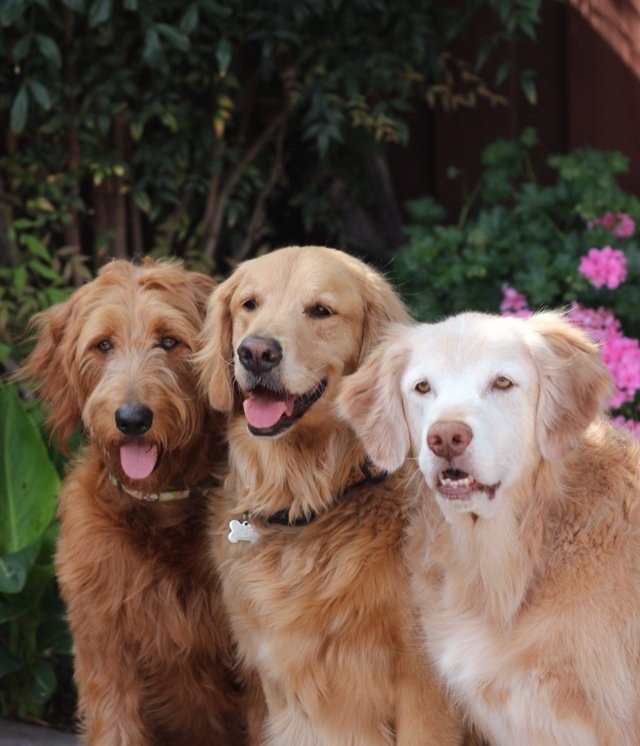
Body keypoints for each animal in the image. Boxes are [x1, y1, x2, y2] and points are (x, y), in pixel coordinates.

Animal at [196, 247, 464, 740]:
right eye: (249, 304)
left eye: (321, 310)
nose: (256, 352)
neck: (311, 499)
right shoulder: (282, 692)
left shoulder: (426, 689)